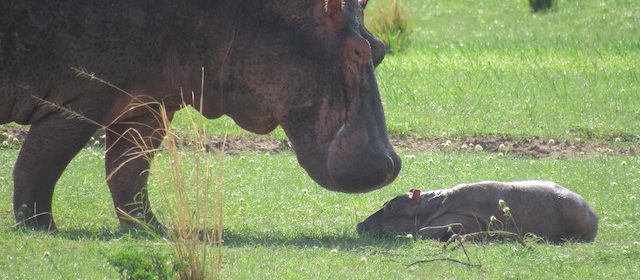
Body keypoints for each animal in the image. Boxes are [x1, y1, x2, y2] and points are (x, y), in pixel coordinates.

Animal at [0, 0, 400, 230]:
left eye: (380, 49)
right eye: (357, 51)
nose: (391, 164)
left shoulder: (148, 102)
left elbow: (129, 168)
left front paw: (151, 230)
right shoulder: (83, 98)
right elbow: (42, 162)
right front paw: (39, 229)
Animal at [358, 180, 596, 242]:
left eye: (390, 206)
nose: (360, 224)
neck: (429, 206)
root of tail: (594, 213)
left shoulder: (466, 216)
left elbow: (425, 231)